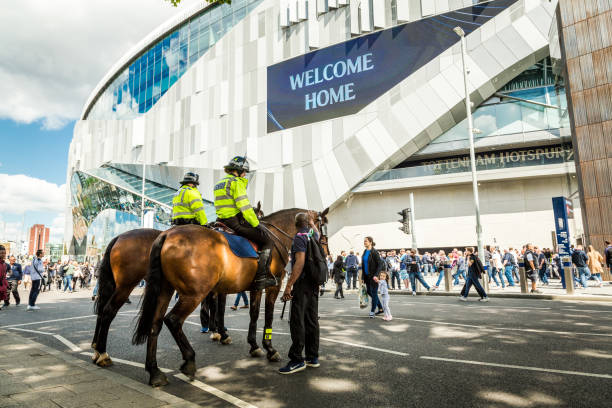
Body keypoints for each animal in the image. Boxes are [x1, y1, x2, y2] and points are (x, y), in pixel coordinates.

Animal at [131, 209, 328, 388]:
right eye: (323, 224)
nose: (325, 251)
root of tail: (167, 234)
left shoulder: (256, 287)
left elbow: (254, 314)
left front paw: (254, 345)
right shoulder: (275, 284)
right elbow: (268, 315)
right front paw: (270, 349)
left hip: (165, 289)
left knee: (155, 324)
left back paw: (155, 372)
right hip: (194, 293)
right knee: (173, 320)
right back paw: (189, 361)